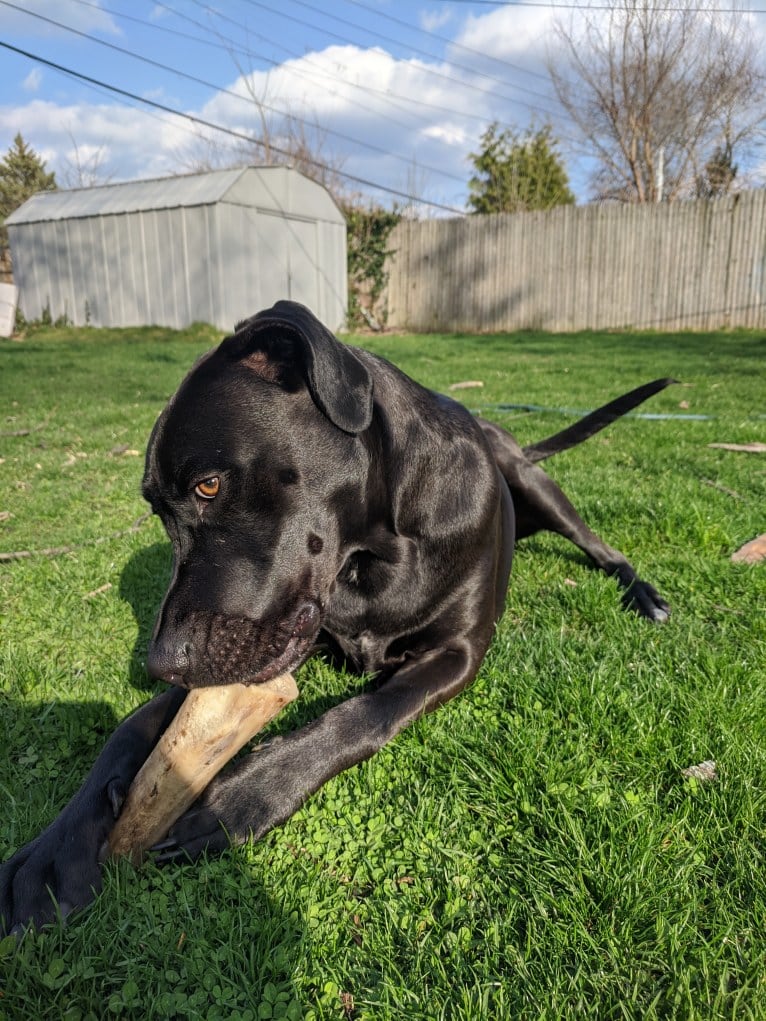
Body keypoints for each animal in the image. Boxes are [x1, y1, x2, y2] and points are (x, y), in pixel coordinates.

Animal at [0, 298, 669, 935]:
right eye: (158, 510)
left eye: (208, 485)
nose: (161, 662)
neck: (378, 552)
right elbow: (130, 728)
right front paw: (51, 854)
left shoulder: (458, 654)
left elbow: (369, 711)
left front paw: (243, 796)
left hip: (538, 485)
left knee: (601, 547)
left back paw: (646, 595)